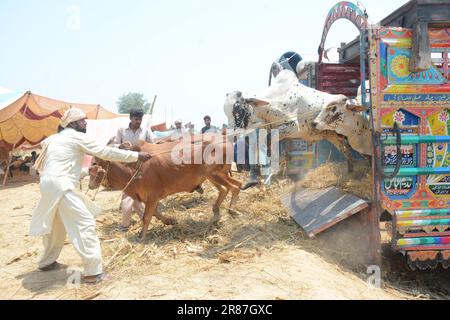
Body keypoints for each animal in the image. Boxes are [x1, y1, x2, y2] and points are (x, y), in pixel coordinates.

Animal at [89, 134, 243, 241]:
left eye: (95, 163)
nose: (90, 185)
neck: (132, 170)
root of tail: (225, 139)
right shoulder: (150, 197)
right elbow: (155, 213)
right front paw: (170, 221)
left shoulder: (152, 195)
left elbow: (146, 216)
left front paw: (141, 236)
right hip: (212, 176)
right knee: (227, 189)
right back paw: (216, 213)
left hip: (215, 174)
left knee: (236, 186)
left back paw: (232, 210)